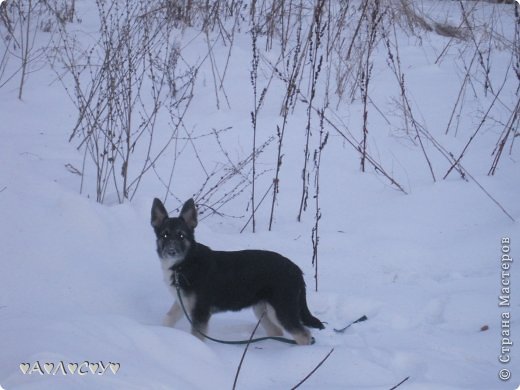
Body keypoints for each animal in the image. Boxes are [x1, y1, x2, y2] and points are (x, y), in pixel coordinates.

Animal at [149, 198, 324, 344]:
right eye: (164, 235)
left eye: (181, 235)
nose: (171, 252)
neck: (184, 263)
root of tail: (296, 270)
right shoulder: (183, 302)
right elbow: (168, 319)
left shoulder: (200, 311)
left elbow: (197, 337)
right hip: (263, 308)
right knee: (277, 331)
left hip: (282, 309)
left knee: (304, 335)